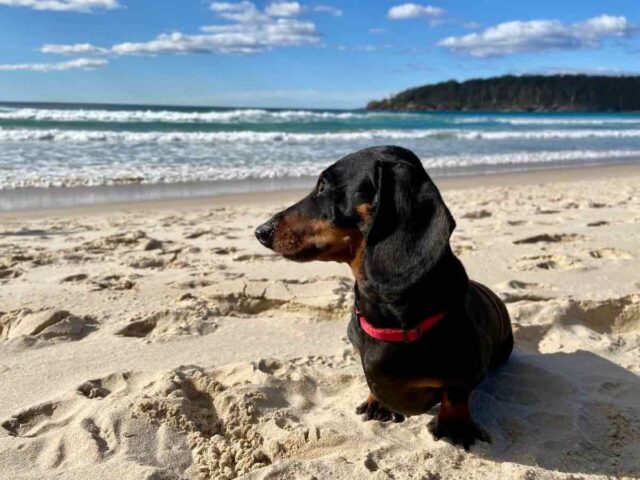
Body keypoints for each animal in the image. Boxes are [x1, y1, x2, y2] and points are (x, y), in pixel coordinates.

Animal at [255, 146, 516, 450]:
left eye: (324, 186)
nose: (260, 231)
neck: (388, 315)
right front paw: (376, 403)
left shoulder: (469, 369)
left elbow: (456, 394)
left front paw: (455, 426)